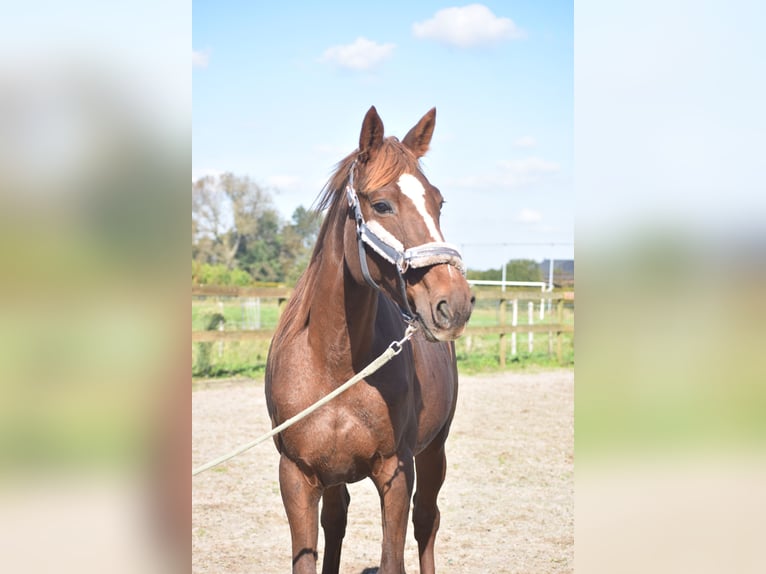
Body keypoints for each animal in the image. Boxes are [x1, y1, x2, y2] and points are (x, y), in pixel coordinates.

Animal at [268, 106, 476, 572]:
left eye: (438, 202)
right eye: (381, 204)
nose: (454, 302)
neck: (335, 361)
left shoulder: (396, 473)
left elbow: (394, 556)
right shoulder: (297, 476)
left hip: (434, 451)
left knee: (427, 521)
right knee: (337, 520)